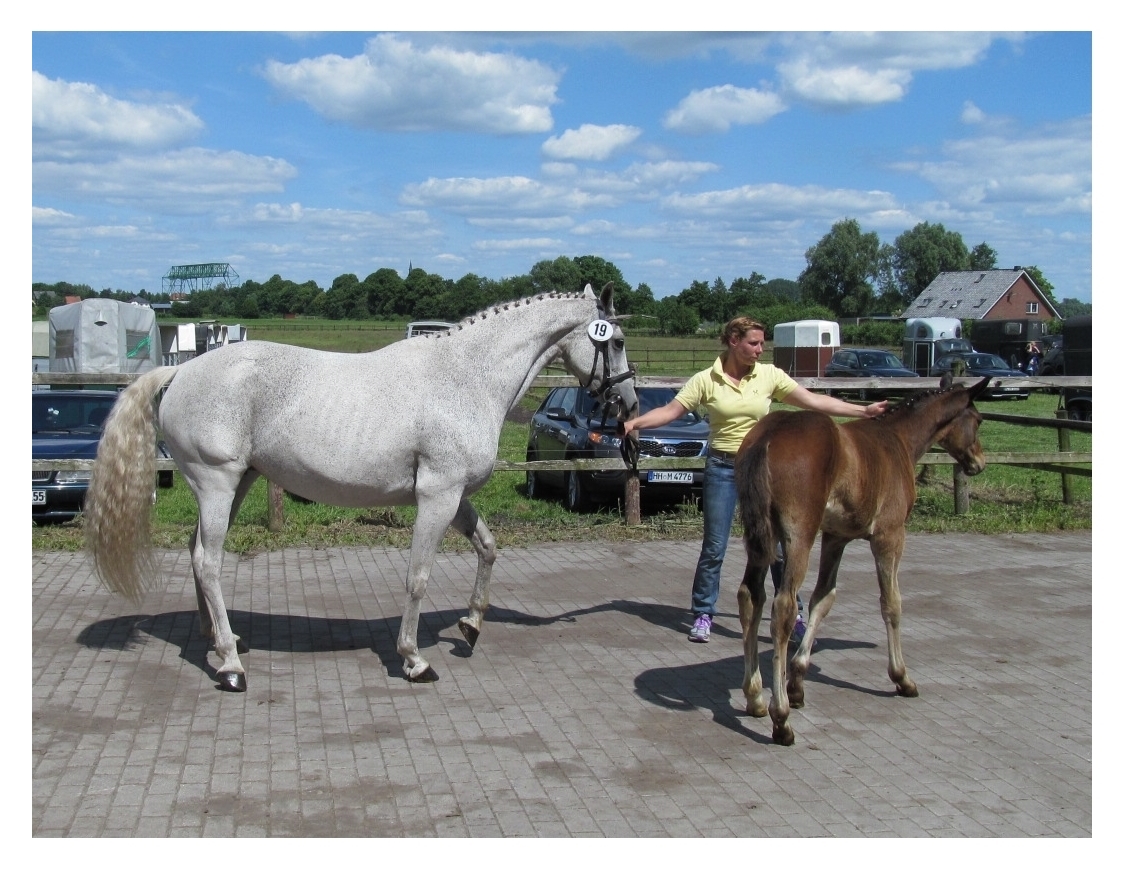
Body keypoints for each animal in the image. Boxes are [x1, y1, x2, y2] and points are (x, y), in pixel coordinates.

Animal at [83, 286, 638, 696]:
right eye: (613, 341)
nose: (629, 404)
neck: (465, 377)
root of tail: (180, 370)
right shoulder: (437, 498)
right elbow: (418, 577)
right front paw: (414, 660)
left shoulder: (454, 496)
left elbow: (488, 547)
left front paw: (471, 625)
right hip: (217, 483)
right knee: (208, 562)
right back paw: (232, 668)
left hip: (236, 484)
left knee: (197, 553)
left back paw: (220, 645)